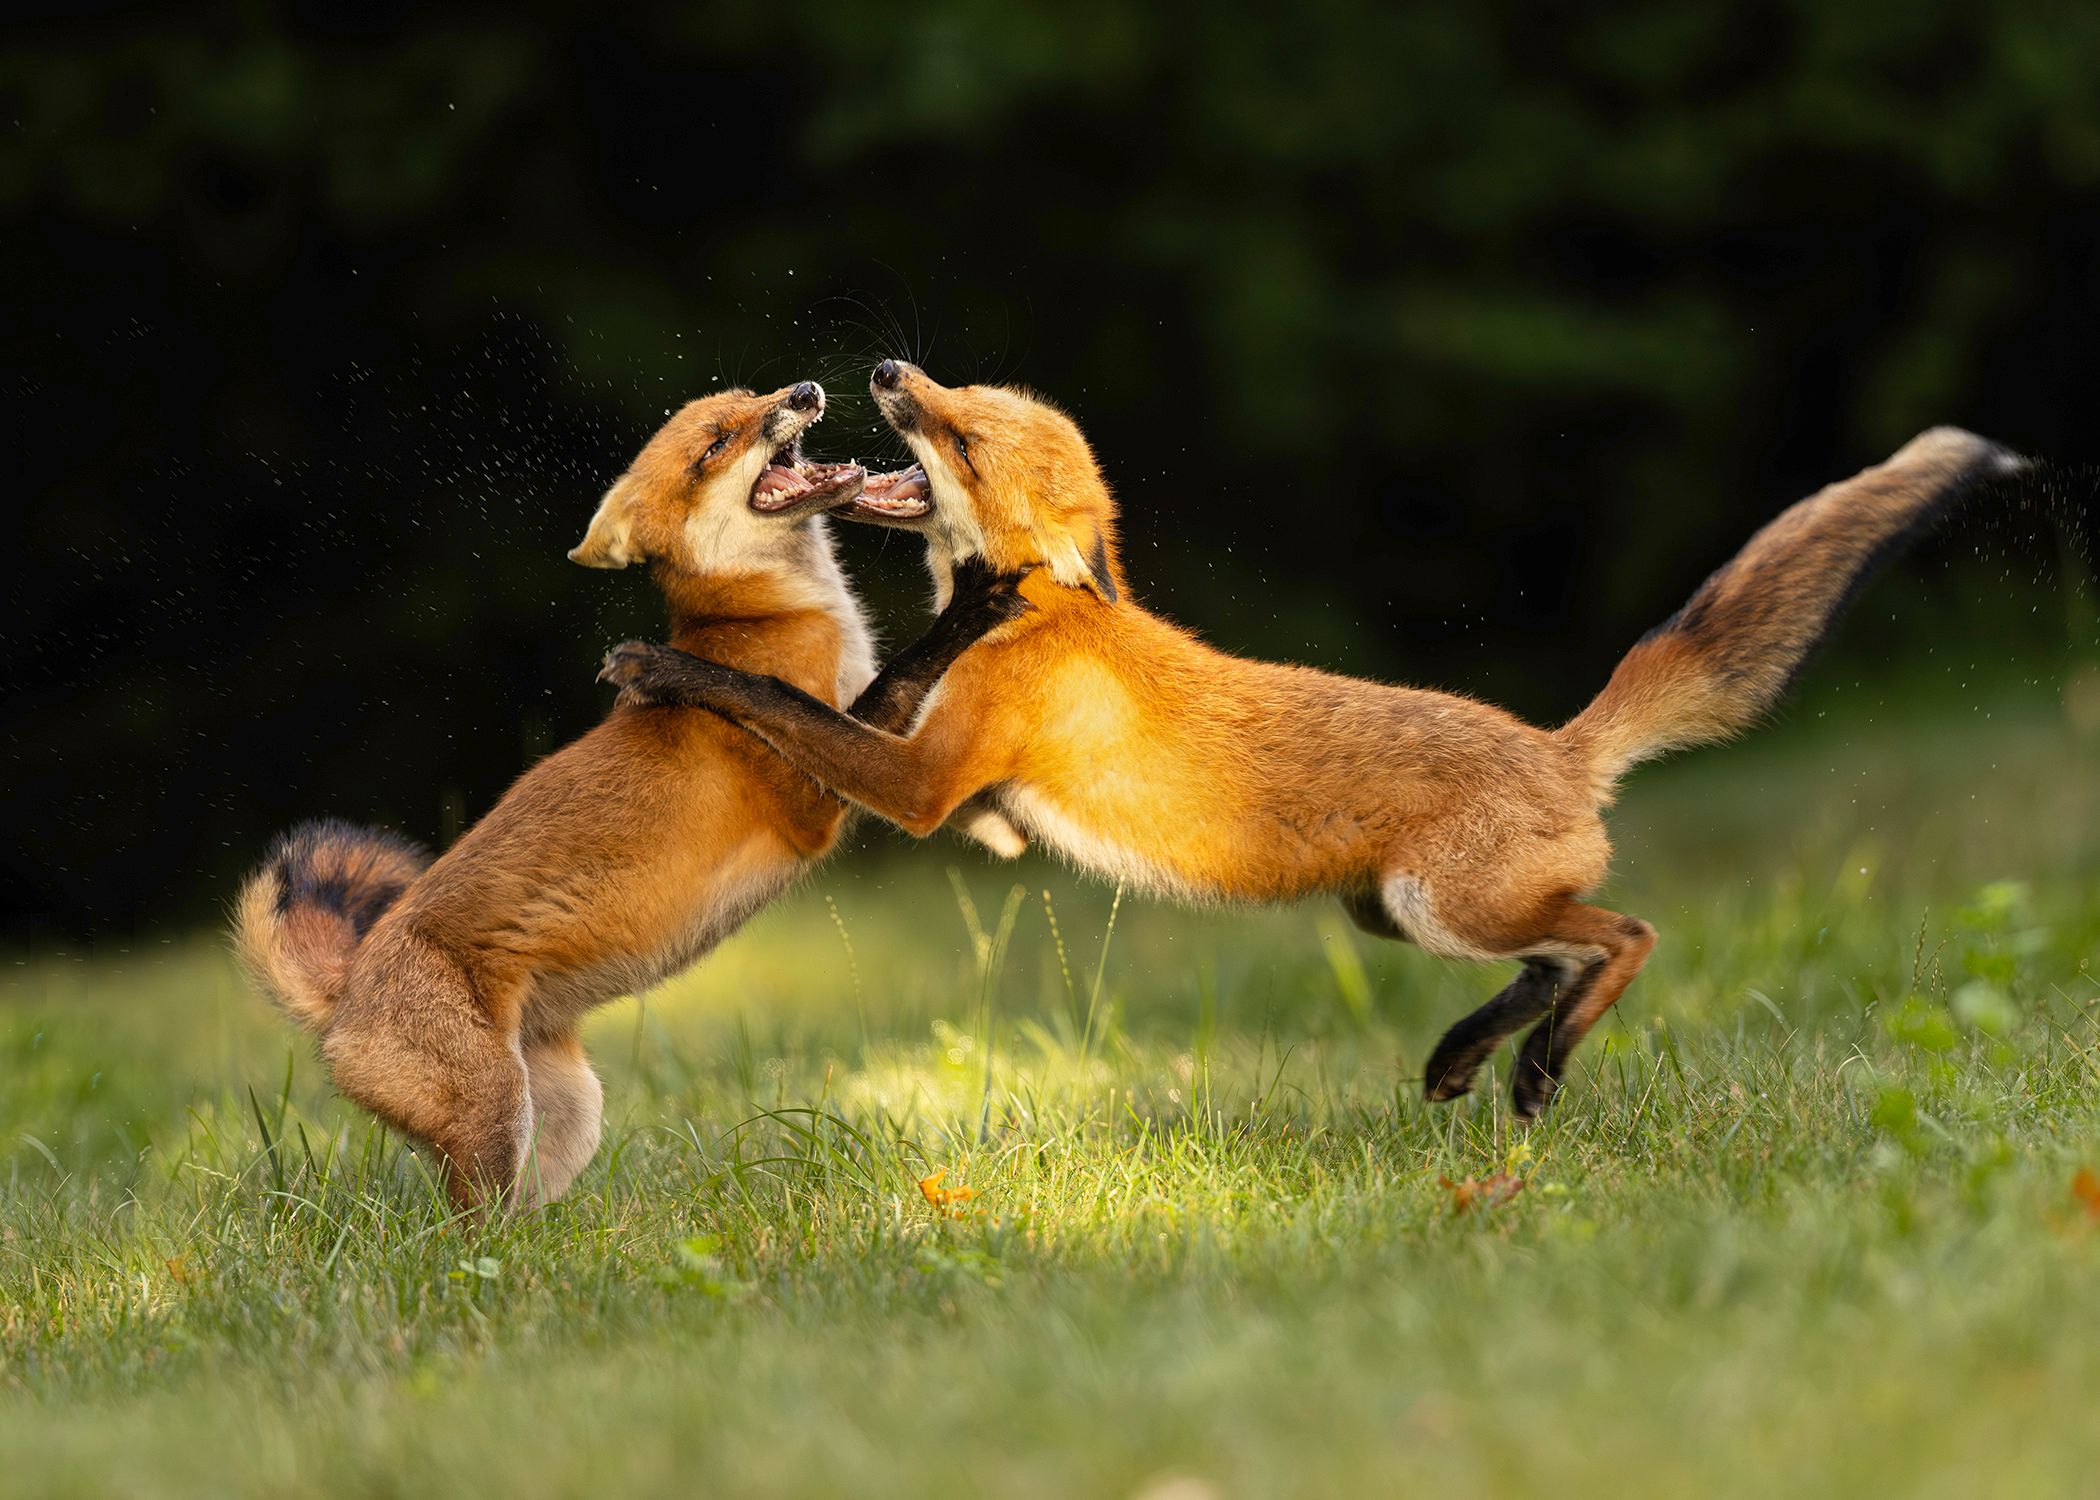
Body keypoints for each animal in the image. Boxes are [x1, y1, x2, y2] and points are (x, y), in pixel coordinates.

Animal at [234, 380, 1028, 1210]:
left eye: (755, 397)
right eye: (715, 444)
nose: (805, 389)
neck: (772, 614)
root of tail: (345, 993)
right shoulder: (813, 801)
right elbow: (851, 686)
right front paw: (970, 608)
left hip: (569, 1116)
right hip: (494, 1123)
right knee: (453, 1229)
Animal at [600, 358, 2024, 1120]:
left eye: (959, 435)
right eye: (950, 398)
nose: (889, 371)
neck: (1044, 616)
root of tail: (1560, 745)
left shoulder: (920, 782)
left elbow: (784, 709)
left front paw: (666, 664)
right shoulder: (946, 772)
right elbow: (857, 698)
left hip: (1446, 905)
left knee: (1624, 936)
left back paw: (1535, 1069)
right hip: (1389, 913)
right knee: (1558, 958)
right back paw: (1475, 1057)